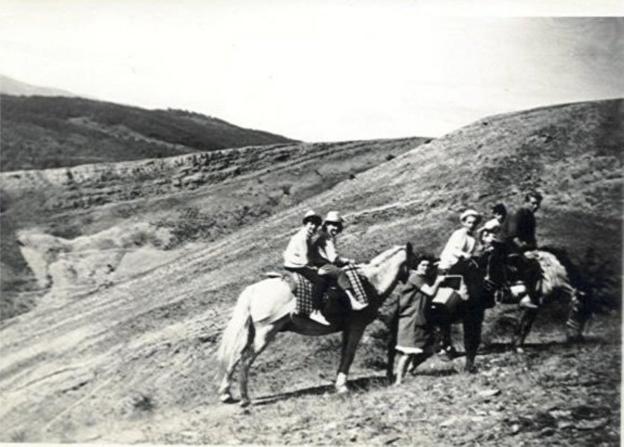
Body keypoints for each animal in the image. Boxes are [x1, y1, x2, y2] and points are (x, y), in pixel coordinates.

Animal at [216, 243, 414, 408]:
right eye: (418, 257)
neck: (371, 283)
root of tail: (253, 290)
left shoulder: (348, 328)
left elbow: (345, 353)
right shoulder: (357, 325)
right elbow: (349, 354)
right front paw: (342, 386)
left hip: (250, 332)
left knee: (235, 357)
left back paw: (226, 395)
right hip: (266, 331)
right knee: (246, 359)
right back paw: (244, 399)